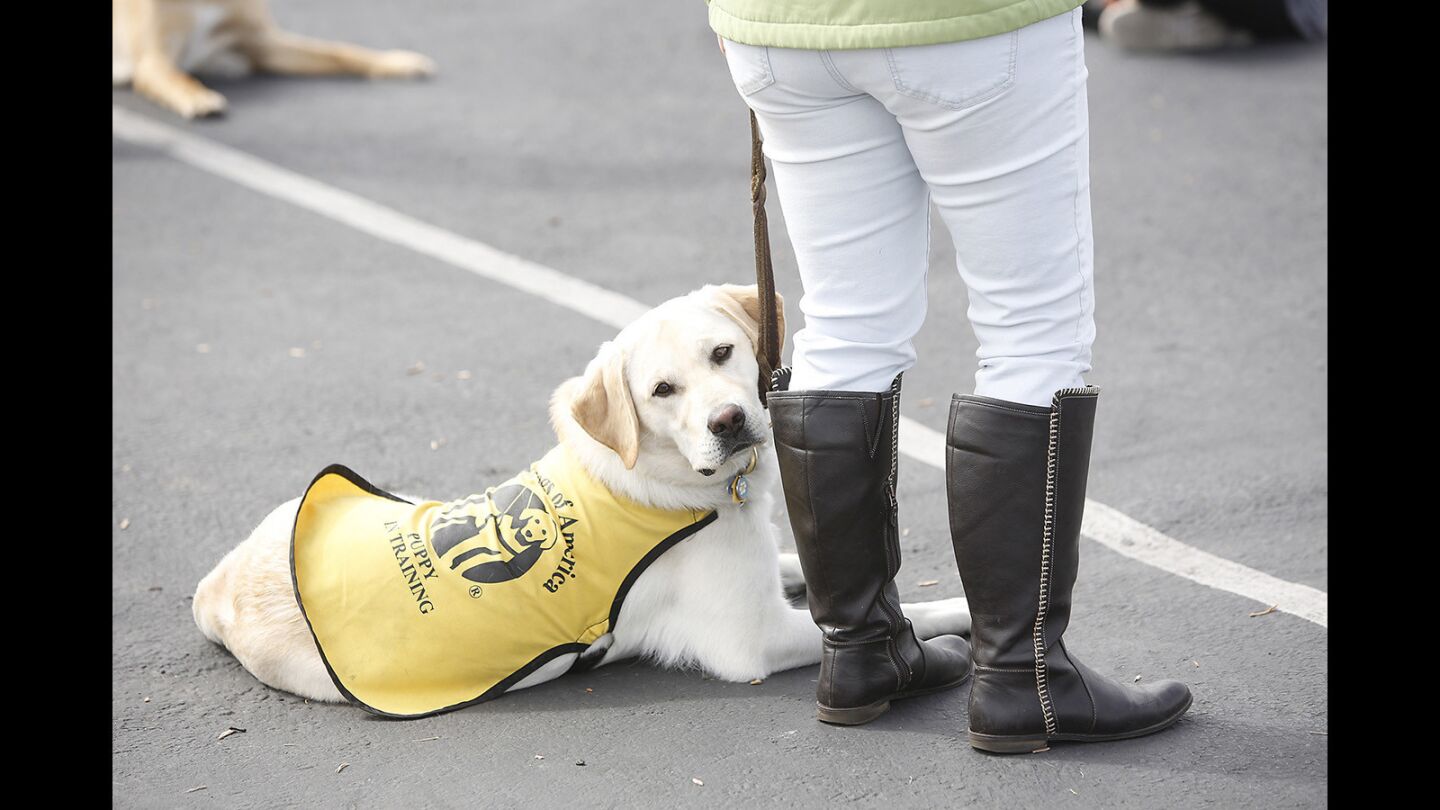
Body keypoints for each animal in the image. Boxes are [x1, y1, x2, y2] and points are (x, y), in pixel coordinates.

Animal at [112, 0, 432, 118]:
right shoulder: (154, 60)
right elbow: (179, 76)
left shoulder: (262, 42)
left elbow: (339, 51)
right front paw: (198, 97)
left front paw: (396, 62)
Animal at [191, 282, 973, 711]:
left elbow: (798, 563)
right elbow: (909, 614)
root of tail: (216, 584)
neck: (667, 482)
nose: (728, 421)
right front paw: (959, 618)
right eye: (662, 391)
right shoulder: (751, 642)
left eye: (722, 353)